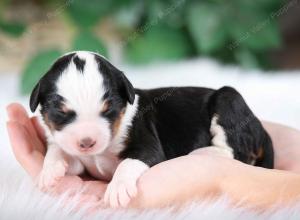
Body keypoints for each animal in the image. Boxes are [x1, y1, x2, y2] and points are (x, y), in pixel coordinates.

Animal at [29, 51, 274, 208]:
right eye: (61, 112)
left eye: (109, 109)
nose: (87, 142)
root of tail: (261, 129)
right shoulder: (80, 159)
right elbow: (60, 151)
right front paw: (50, 171)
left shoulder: (147, 143)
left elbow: (130, 162)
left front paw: (118, 188)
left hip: (228, 100)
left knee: (236, 152)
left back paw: (203, 153)